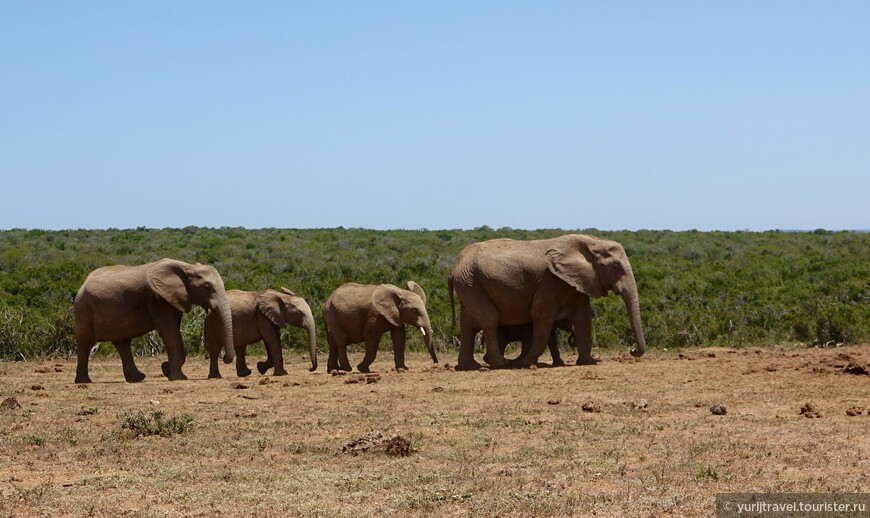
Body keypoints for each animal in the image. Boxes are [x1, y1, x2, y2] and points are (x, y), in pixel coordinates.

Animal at [73, 258, 235, 384]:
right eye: (207, 287)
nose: (225, 358)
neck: (187, 267)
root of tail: (82, 284)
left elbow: (175, 331)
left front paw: (167, 370)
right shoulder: (158, 300)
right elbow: (170, 332)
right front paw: (178, 377)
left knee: (122, 342)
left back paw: (137, 378)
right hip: (83, 309)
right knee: (85, 343)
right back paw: (83, 381)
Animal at [450, 234, 648, 372]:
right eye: (616, 267)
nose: (632, 350)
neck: (592, 242)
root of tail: (452, 270)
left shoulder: (576, 281)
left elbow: (583, 317)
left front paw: (588, 362)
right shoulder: (549, 281)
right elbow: (541, 317)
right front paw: (526, 364)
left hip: (468, 284)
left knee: (467, 325)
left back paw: (469, 367)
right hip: (471, 284)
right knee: (489, 320)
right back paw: (501, 364)